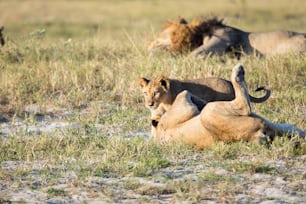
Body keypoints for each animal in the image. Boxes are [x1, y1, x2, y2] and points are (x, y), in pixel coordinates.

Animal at [148, 63, 304, 148]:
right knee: (243, 104)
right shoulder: (183, 109)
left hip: (286, 128)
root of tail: (257, 136)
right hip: (210, 113)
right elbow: (185, 93)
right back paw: (238, 72)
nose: (150, 103)